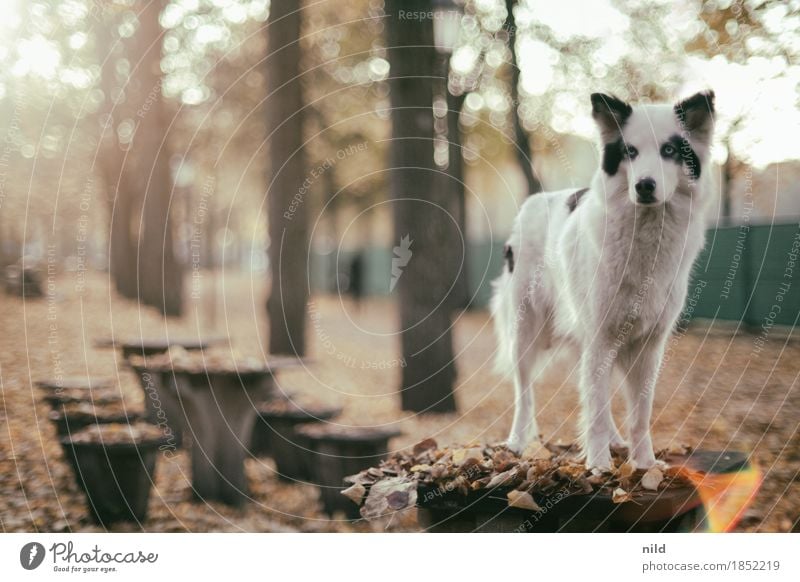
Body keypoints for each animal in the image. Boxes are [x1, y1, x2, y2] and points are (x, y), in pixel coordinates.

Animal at [490, 92, 716, 474]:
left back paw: (615, 441)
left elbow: (639, 413)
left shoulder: (647, 346)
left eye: (670, 150)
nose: (644, 186)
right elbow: (594, 406)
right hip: (525, 332)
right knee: (525, 395)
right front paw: (597, 465)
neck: (646, 232)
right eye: (630, 151)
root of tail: (533, 202)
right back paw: (518, 442)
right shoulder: (601, 336)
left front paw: (645, 463)